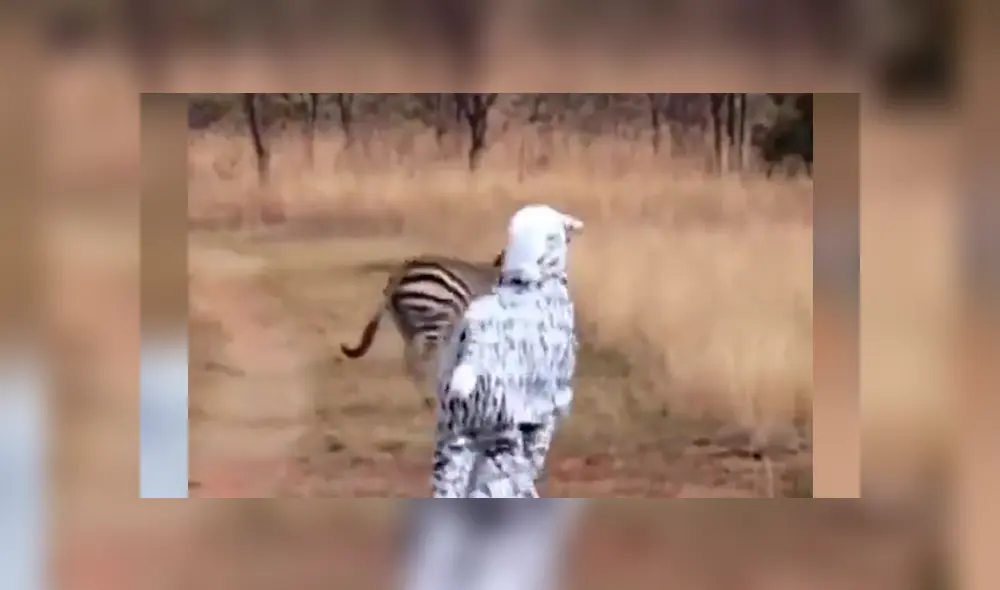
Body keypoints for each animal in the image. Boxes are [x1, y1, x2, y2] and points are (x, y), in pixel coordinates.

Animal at [340, 252, 504, 405]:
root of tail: (401, 272)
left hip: (409, 327)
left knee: (411, 360)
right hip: (433, 324)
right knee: (422, 362)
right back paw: (432, 399)